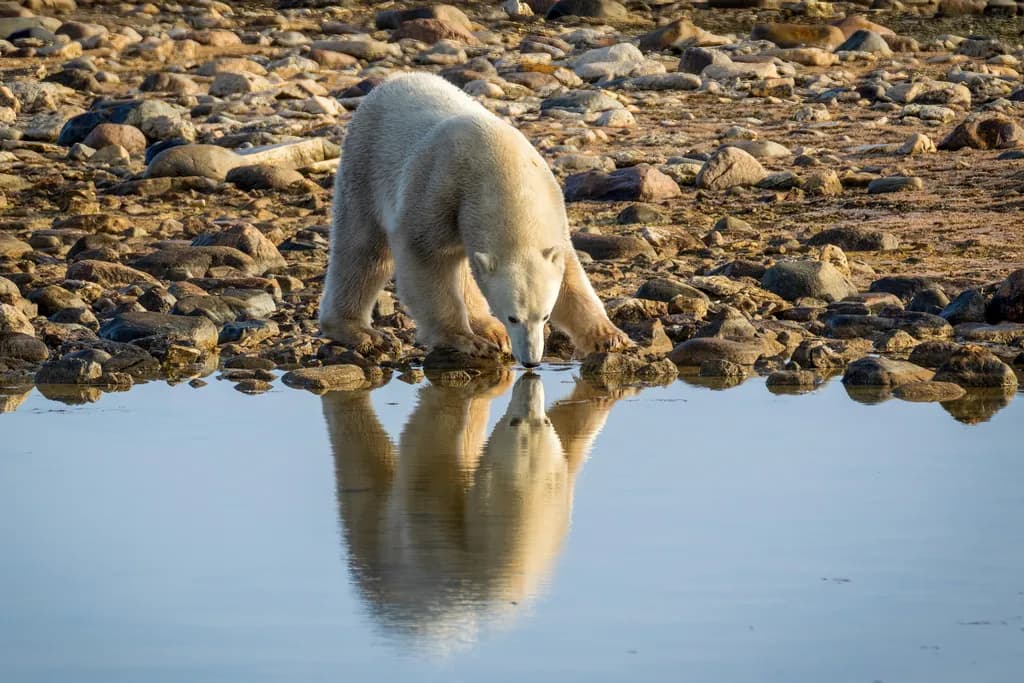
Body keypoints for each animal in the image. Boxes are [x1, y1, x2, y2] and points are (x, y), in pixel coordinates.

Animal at [319, 72, 630, 367]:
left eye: (544, 316)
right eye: (513, 317)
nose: (530, 361)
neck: (502, 168)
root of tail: (390, 82)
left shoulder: (552, 208)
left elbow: (570, 276)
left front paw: (610, 336)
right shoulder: (439, 189)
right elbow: (425, 258)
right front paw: (464, 339)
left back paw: (490, 328)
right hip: (365, 166)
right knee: (363, 249)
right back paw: (360, 332)